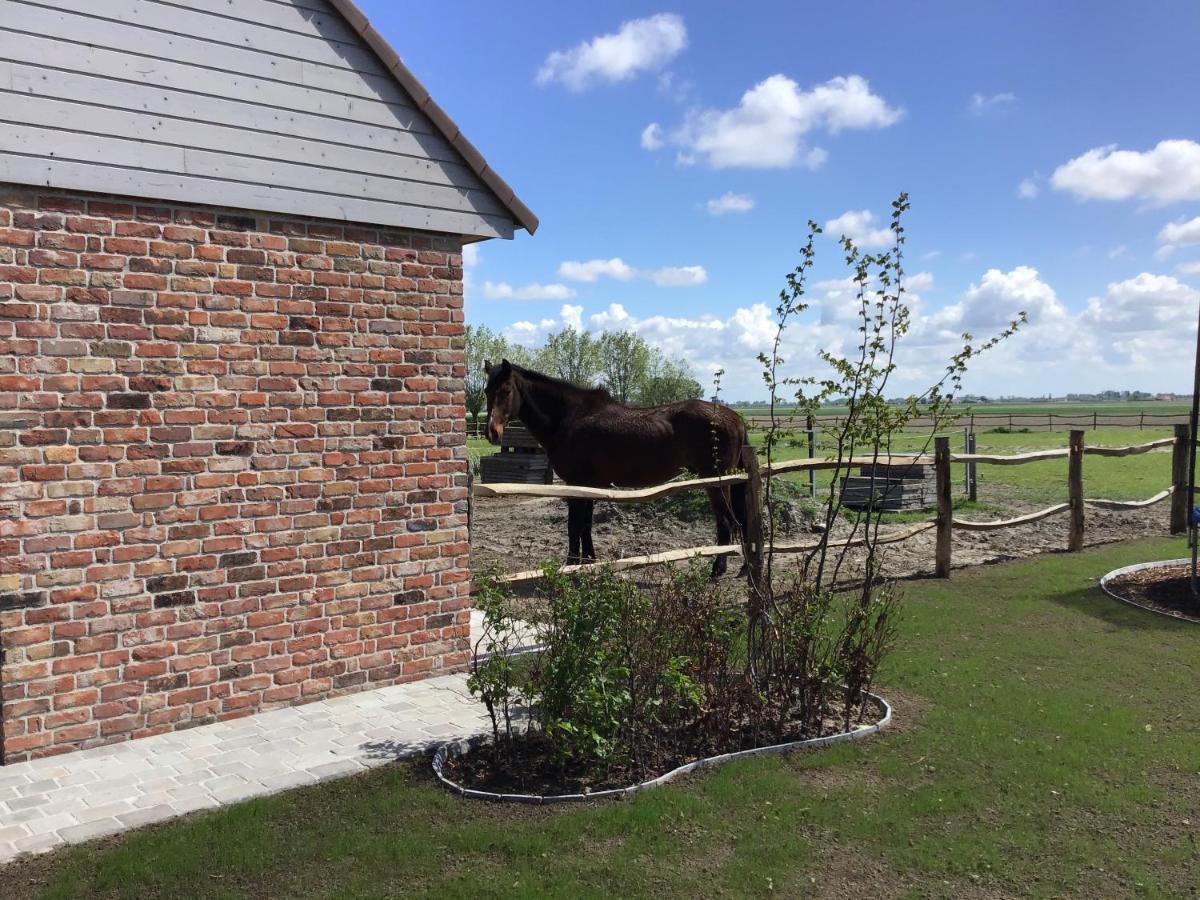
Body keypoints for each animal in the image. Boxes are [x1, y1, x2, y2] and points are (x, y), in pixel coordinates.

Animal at [480, 360, 744, 578]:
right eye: (486, 391)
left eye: (506, 389)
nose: (492, 432)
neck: (570, 417)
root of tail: (736, 419)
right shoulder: (589, 486)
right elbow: (586, 525)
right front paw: (589, 563)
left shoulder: (576, 483)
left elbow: (574, 526)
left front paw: (571, 565)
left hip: (714, 481)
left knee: (727, 523)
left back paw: (718, 569)